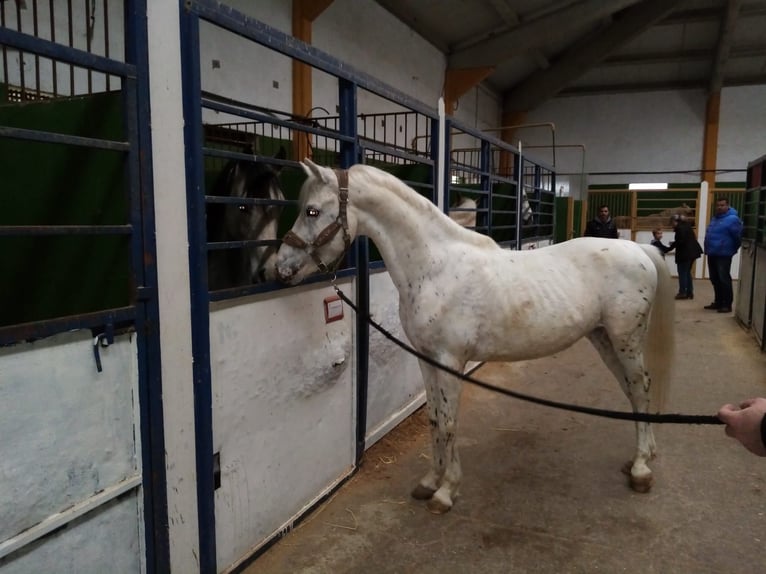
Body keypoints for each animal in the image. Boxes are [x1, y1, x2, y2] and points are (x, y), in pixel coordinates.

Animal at [278, 160, 680, 516]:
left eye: (312, 211)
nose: (280, 268)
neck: (434, 267)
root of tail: (639, 249)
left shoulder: (450, 360)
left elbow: (450, 421)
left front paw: (446, 492)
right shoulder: (426, 359)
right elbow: (435, 419)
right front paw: (430, 481)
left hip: (626, 339)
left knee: (641, 388)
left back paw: (641, 469)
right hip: (604, 338)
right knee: (633, 391)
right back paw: (642, 457)